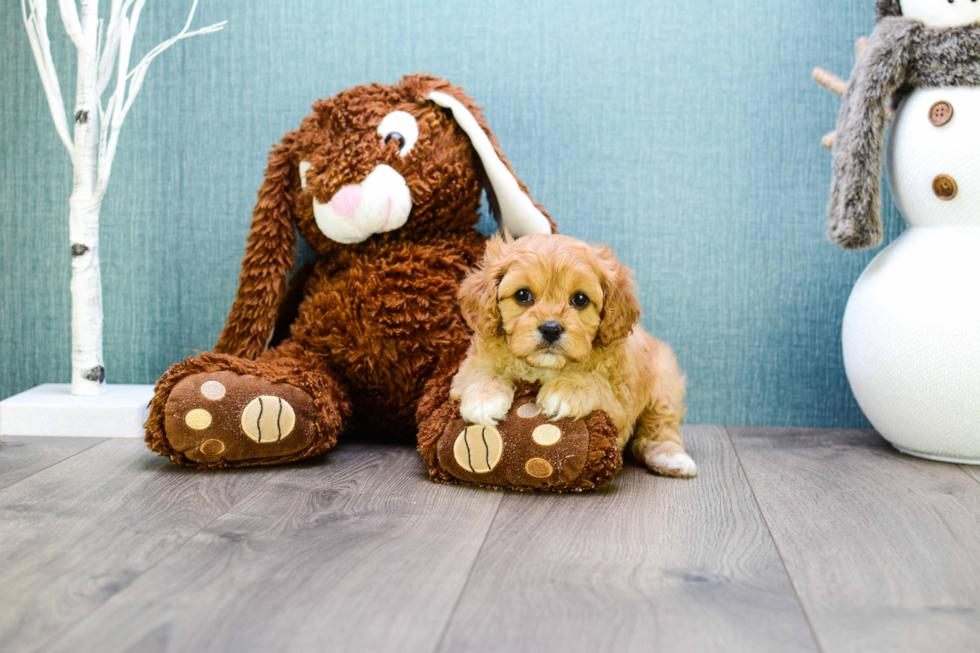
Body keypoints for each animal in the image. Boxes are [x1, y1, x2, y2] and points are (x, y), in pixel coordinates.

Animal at [452, 232, 696, 476]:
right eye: (522, 295)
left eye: (580, 299)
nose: (551, 329)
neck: (546, 366)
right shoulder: (468, 368)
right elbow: (482, 372)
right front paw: (484, 400)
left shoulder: (620, 399)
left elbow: (597, 383)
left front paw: (566, 390)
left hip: (664, 381)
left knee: (661, 425)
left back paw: (670, 457)